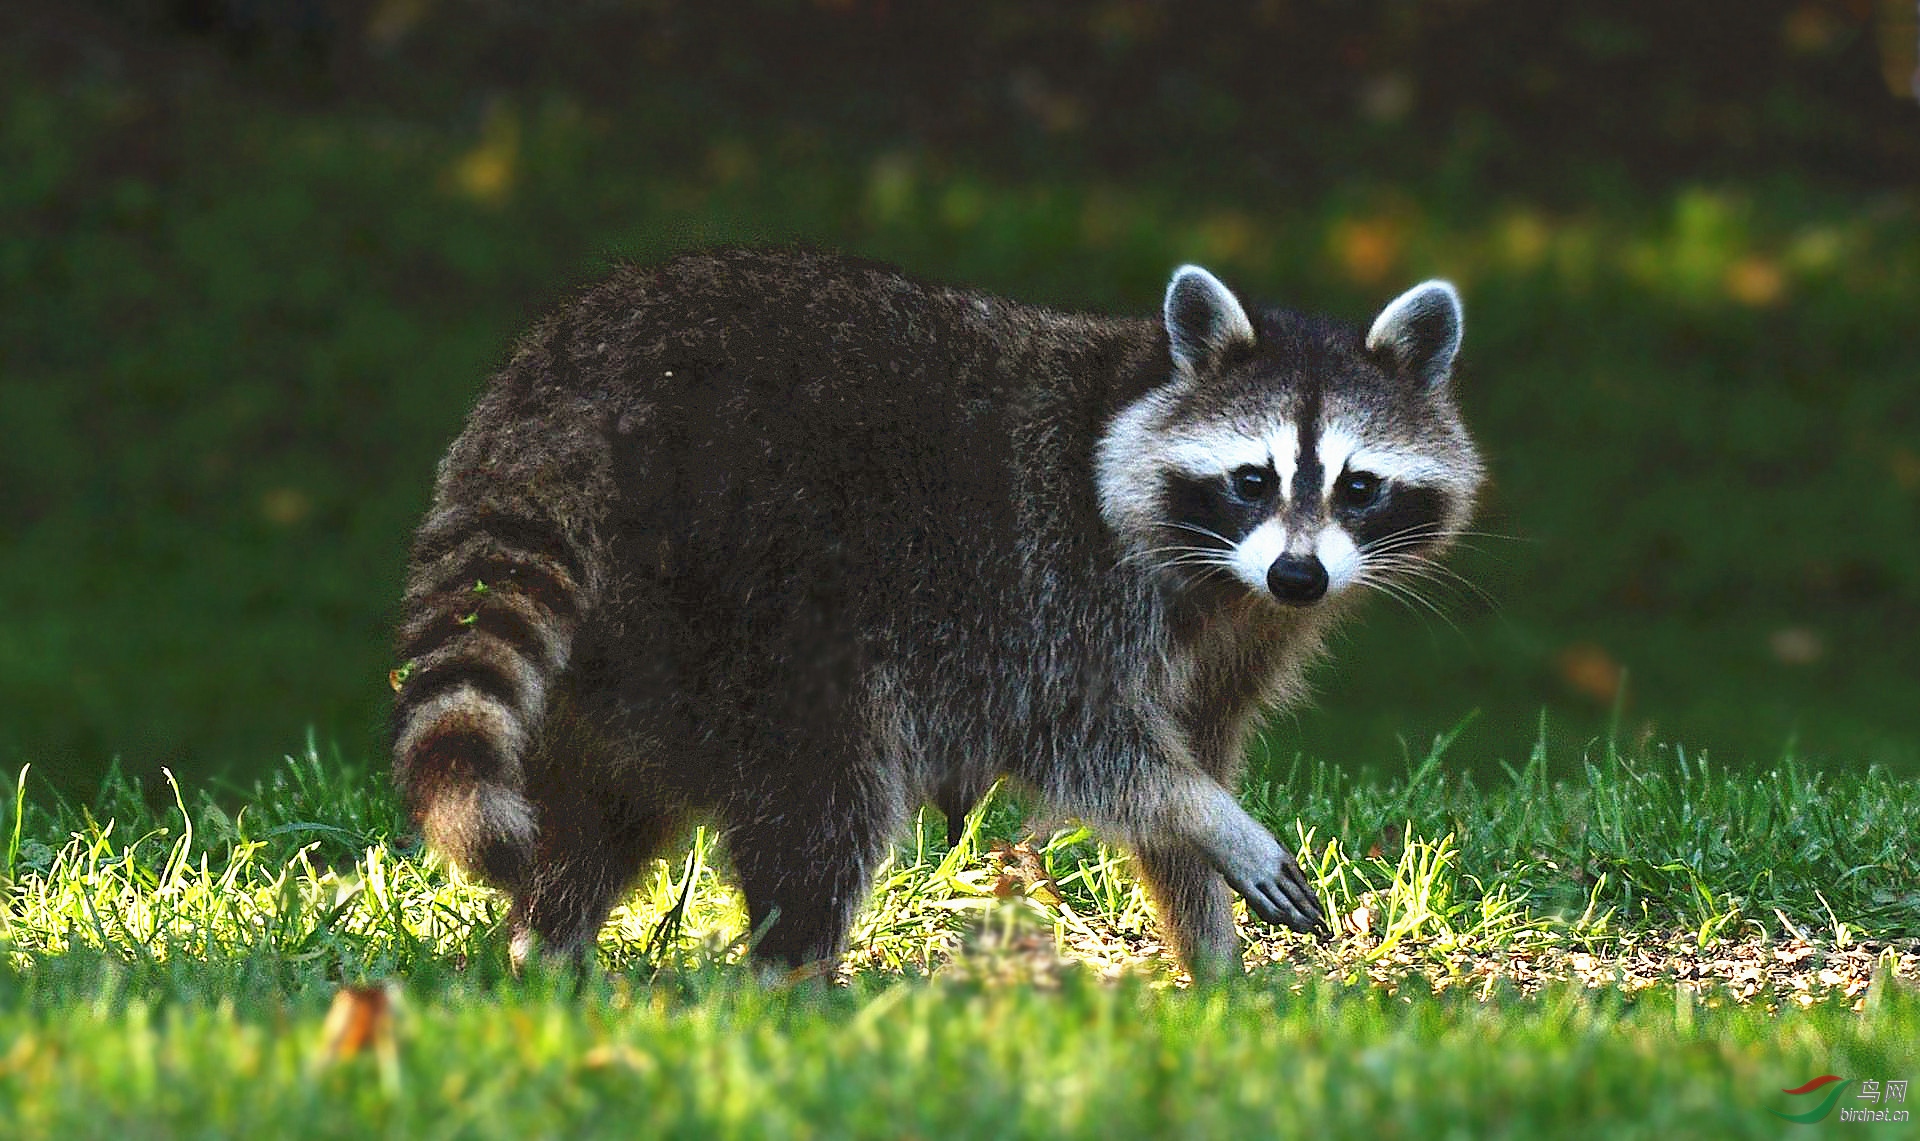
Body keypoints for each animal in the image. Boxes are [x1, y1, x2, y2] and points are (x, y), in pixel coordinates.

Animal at [382, 249, 1474, 975]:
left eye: (1359, 487)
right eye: (1252, 479)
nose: (1299, 576)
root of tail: (559, 393)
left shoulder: (1237, 640)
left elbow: (1186, 761)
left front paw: (1213, 964)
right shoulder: (1055, 589)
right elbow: (1092, 747)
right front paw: (1211, 821)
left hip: (624, 640)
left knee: (600, 809)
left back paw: (548, 951)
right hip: (756, 583)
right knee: (824, 792)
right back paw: (794, 979)